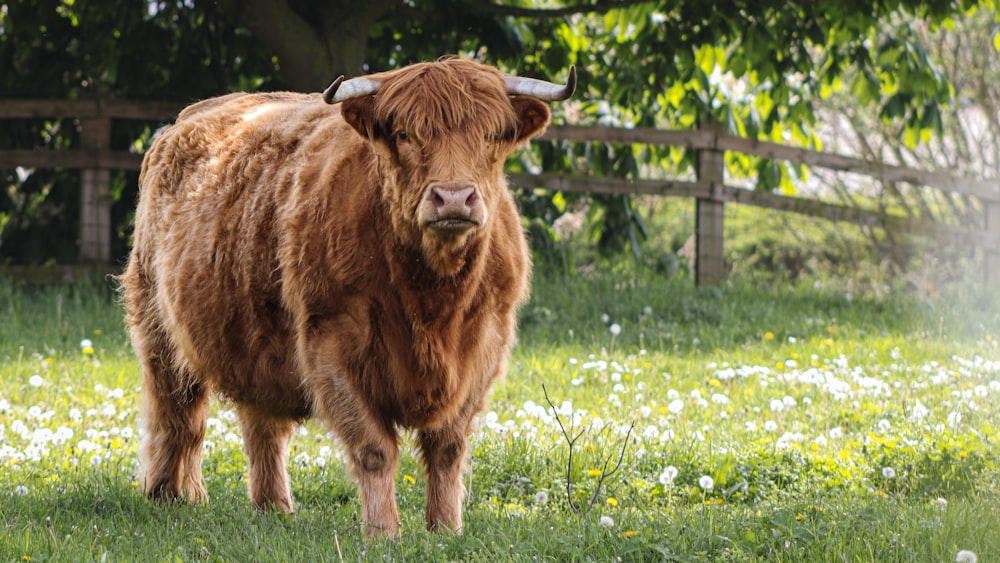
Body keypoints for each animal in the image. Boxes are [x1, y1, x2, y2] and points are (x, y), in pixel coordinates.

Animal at [119, 59, 572, 540]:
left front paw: (446, 528)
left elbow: (447, 448)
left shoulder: (484, 346)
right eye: (404, 133)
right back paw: (167, 494)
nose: (453, 197)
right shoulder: (331, 342)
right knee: (177, 413)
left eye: (492, 134)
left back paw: (274, 507)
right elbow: (375, 447)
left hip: (256, 340)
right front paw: (382, 531)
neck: (431, 300)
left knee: (261, 425)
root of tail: (181, 123)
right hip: (156, 323)